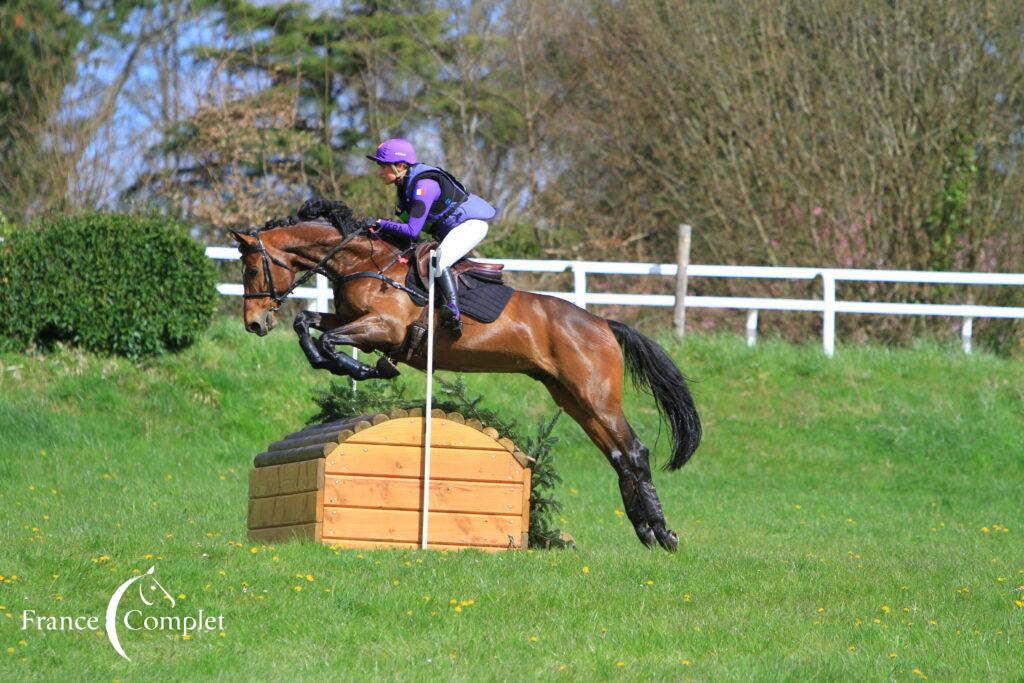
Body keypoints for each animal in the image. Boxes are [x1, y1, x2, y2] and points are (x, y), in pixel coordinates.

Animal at [228, 200, 700, 552]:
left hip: (595, 394)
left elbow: (328, 339)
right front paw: (347, 364)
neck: (364, 263)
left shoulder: (385, 328)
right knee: (619, 454)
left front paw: (365, 367)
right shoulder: (350, 321)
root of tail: (602, 323)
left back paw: (664, 534)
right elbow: (307, 325)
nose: (254, 324)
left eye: (250, 269)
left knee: (635, 450)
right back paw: (645, 531)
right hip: (572, 397)